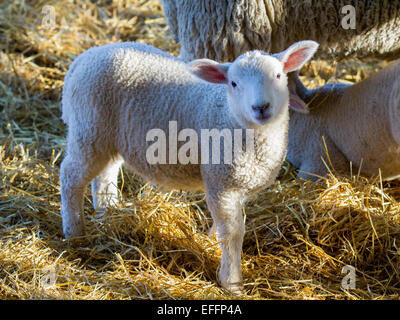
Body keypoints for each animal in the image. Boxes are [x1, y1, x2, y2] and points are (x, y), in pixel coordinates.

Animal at [59, 39, 318, 292]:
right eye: (234, 83)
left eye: (278, 75)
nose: (261, 107)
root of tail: (86, 56)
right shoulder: (221, 182)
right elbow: (233, 232)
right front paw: (231, 282)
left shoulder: (235, 183)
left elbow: (225, 226)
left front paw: (210, 243)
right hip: (89, 129)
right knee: (70, 176)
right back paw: (74, 231)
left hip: (109, 138)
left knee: (104, 175)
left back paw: (108, 213)